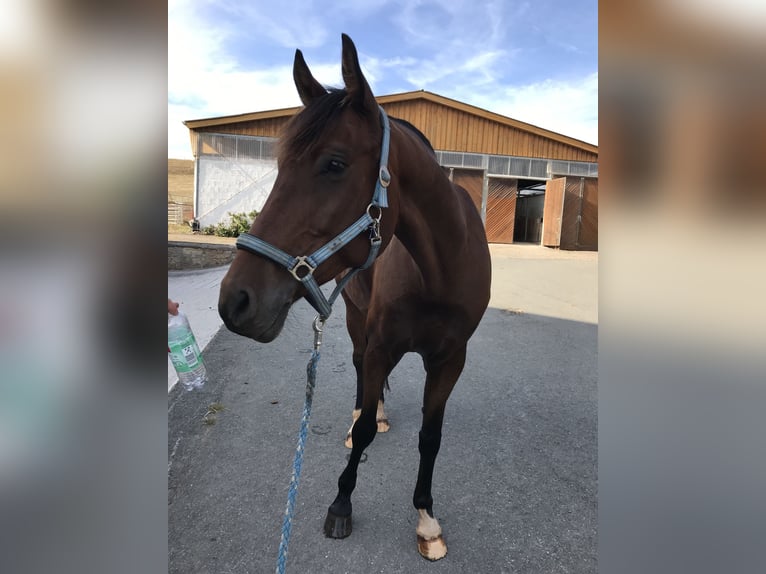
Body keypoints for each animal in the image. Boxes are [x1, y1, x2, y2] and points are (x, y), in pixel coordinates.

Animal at [216, 35, 492, 564]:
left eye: (335, 164)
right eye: (278, 167)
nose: (234, 301)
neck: (439, 272)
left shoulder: (452, 360)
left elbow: (431, 437)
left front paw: (426, 521)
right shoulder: (382, 343)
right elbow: (363, 424)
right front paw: (341, 503)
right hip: (354, 317)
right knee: (361, 370)